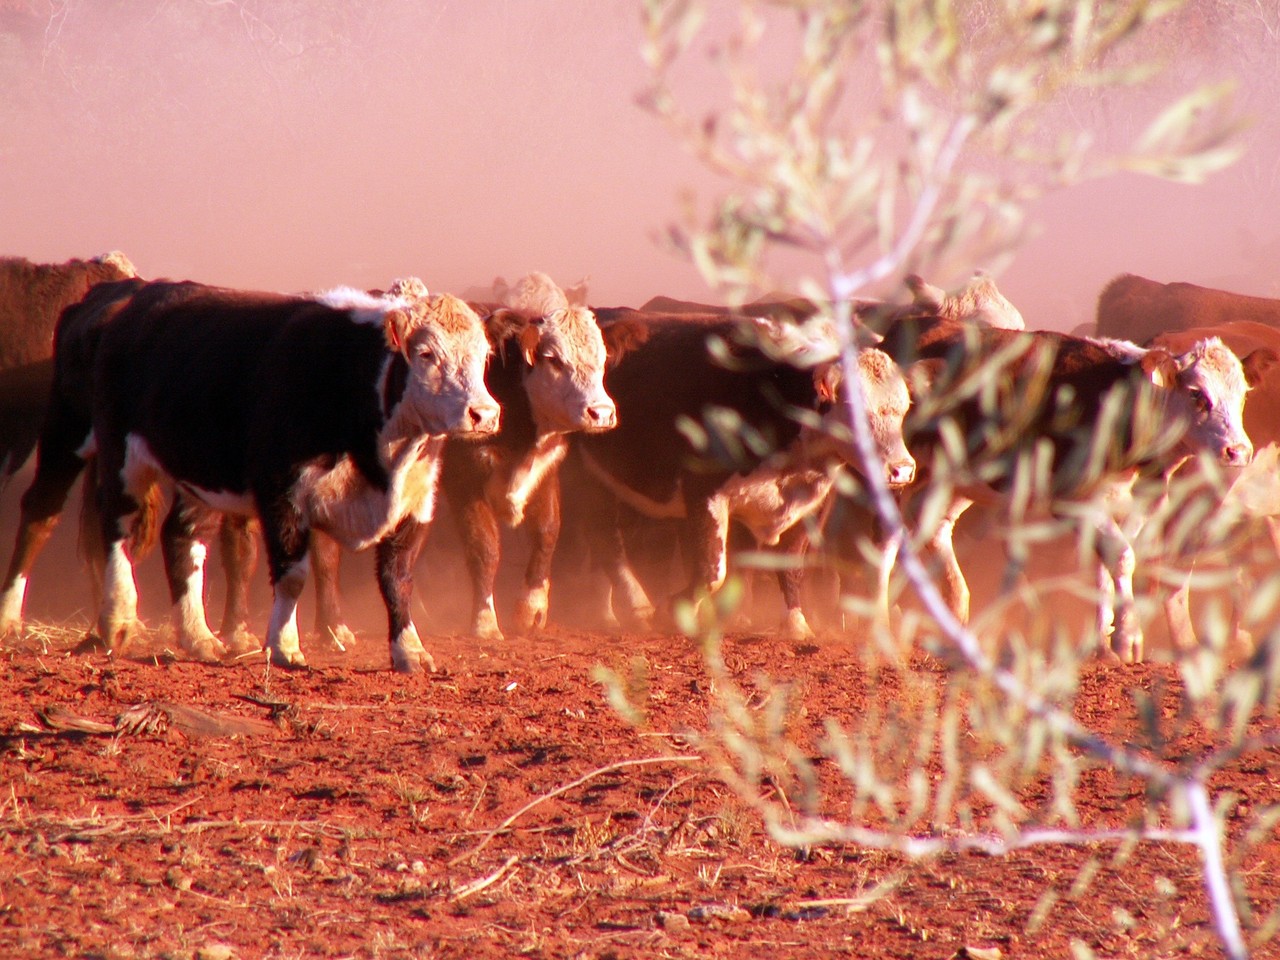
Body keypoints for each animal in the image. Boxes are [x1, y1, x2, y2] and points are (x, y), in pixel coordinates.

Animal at [0, 277, 499, 670]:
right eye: (426, 353)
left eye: (485, 356)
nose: (485, 413)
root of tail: (125, 292)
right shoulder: (281, 493)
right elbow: (292, 574)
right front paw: (283, 646)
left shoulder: (415, 505)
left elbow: (398, 580)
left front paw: (409, 652)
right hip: (86, 438)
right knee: (73, 517)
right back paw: (87, 618)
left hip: (197, 474)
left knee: (181, 536)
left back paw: (198, 637)